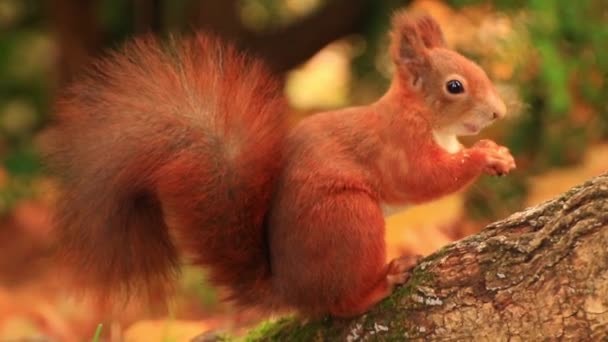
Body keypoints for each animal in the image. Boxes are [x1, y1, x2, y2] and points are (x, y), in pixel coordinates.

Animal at [42, 11, 516, 318]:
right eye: (454, 86)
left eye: (477, 67)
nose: (499, 112)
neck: (425, 119)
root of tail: (289, 290)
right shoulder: (396, 146)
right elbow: (424, 178)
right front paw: (484, 155)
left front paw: (500, 152)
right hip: (347, 220)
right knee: (340, 304)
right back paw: (381, 283)